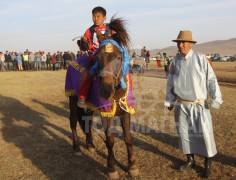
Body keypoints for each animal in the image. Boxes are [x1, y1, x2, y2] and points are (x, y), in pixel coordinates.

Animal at [65, 16, 139, 179]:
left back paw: (90, 145)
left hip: (90, 106)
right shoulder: (106, 113)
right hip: (72, 98)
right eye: (98, 57)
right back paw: (77, 148)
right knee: (73, 122)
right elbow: (110, 141)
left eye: (119, 57)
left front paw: (132, 166)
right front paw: (111, 168)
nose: (106, 90)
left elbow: (128, 138)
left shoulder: (125, 111)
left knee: (87, 121)